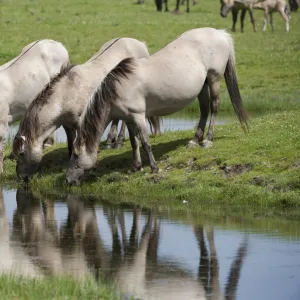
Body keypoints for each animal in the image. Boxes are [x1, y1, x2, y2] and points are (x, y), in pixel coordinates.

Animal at [12, 38, 150, 183]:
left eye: (21, 153)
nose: (21, 177)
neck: (65, 94)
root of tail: (141, 44)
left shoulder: (81, 124)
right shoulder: (68, 125)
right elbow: (71, 145)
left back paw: (117, 142)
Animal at [66, 27, 248, 185]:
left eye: (75, 156)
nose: (68, 180)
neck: (117, 88)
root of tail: (220, 33)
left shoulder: (139, 116)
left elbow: (145, 142)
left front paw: (154, 168)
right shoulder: (129, 119)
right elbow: (134, 143)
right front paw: (136, 167)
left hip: (214, 78)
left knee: (214, 106)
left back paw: (208, 140)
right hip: (202, 86)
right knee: (204, 110)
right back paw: (195, 140)